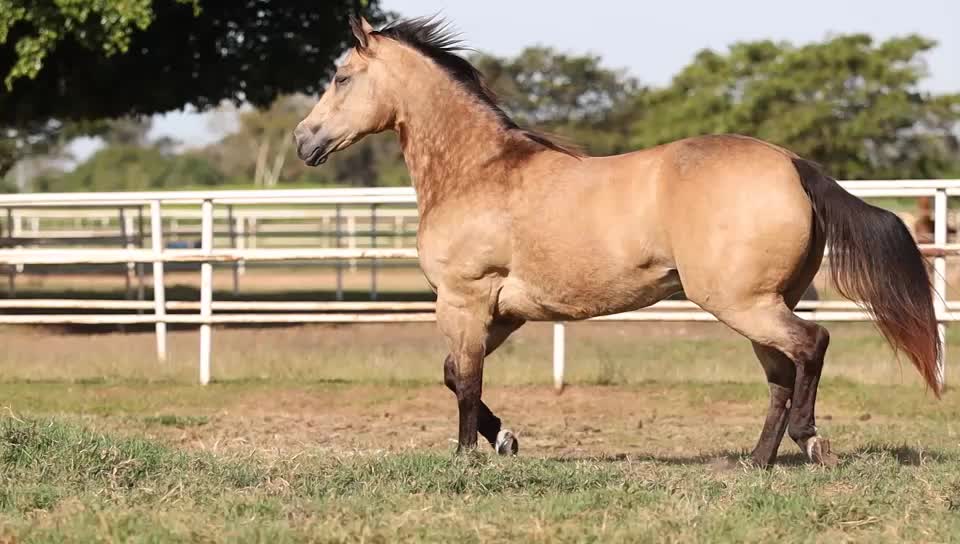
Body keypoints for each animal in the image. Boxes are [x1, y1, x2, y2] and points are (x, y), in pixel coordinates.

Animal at [294, 15, 940, 467]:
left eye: (341, 77)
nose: (303, 139)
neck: (478, 171)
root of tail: (793, 164)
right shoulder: (506, 311)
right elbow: (455, 375)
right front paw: (505, 440)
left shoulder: (464, 299)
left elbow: (466, 380)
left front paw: (464, 458)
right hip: (763, 301)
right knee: (782, 374)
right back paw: (755, 463)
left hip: (743, 302)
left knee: (812, 345)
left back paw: (811, 442)